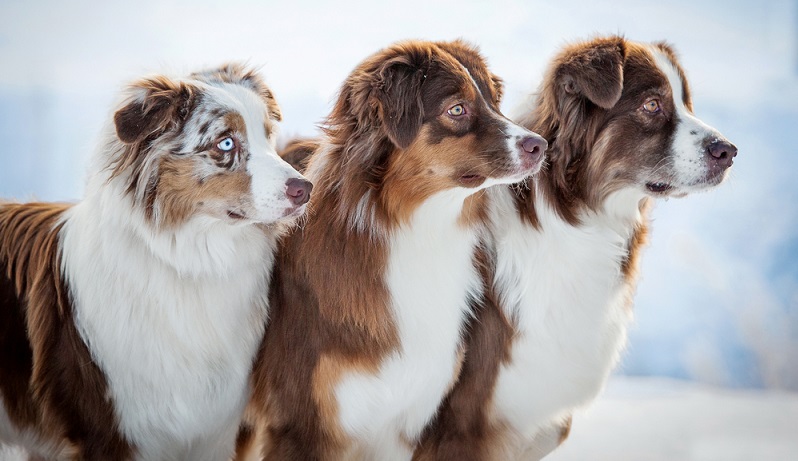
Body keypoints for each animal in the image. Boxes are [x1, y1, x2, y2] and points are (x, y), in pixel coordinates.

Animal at [0, 63, 312, 458]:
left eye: (267, 136)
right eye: (226, 142)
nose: (306, 189)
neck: (191, 263)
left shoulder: (216, 432)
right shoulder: (109, 434)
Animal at [248, 40, 552, 460]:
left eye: (494, 102)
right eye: (457, 109)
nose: (540, 145)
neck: (413, 230)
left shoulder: (408, 418)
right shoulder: (302, 426)